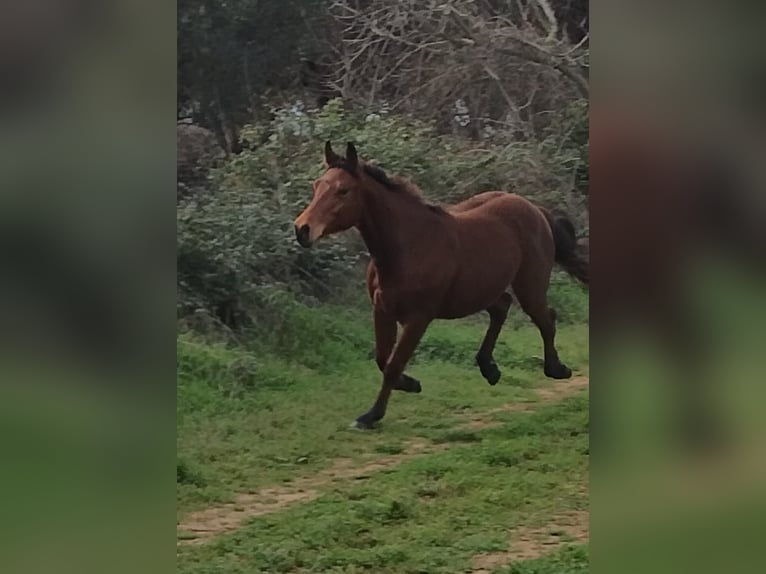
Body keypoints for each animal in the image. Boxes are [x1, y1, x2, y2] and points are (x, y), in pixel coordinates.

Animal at [294, 142, 588, 430]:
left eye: (343, 190)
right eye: (316, 185)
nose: (302, 229)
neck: (408, 245)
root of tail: (536, 209)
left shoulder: (418, 317)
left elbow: (393, 364)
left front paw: (371, 416)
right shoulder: (382, 309)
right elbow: (382, 358)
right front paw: (410, 384)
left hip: (530, 285)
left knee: (546, 318)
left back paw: (556, 369)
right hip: (482, 288)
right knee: (503, 306)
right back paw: (489, 368)